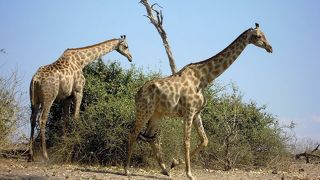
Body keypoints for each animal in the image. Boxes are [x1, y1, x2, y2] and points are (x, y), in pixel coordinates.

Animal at [125, 23, 272, 180]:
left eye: (265, 34)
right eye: (258, 36)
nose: (270, 48)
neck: (204, 78)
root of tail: (137, 93)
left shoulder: (197, 113)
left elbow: (205, 140)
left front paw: (174, 163)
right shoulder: (188, 111)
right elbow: (186, 141)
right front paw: (189, 174)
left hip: (157, 114)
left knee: (151, 137)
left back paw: (165, 170)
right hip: (144, 110)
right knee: (133, 133)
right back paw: (127, 170)